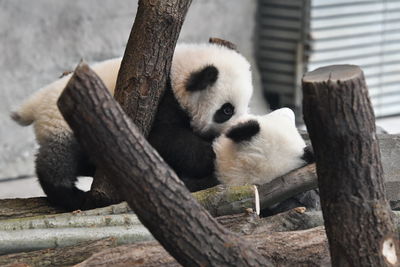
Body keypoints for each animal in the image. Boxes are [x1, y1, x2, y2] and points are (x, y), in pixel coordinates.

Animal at [12, 41, 255, 211]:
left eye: (246, 105)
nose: (240, 126)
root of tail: (34, 104)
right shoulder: (159, 99)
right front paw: (210, 156)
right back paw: (70, 195)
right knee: (58, 159)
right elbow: (165, 140)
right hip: (63, 122)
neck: (177, 69)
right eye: (226, 110)